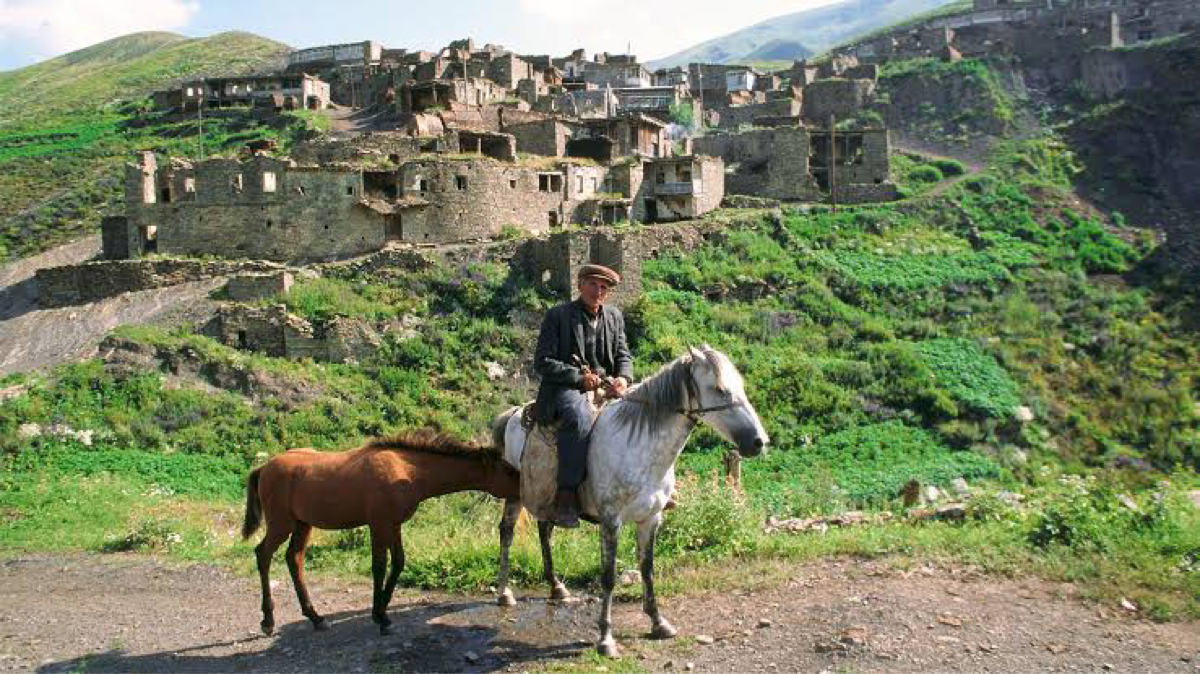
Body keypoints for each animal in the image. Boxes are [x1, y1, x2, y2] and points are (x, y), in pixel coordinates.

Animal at [241, 431, 518, 633]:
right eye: (506, 469)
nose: (522, 486)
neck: (407, 470)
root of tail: (264, 467)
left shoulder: (394, 525)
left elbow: (398, 563)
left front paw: (383, 610)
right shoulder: (379, 524)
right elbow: (379, 566)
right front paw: (379, 616)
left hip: (302, 524)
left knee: (294, 559)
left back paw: (315, 617)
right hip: (281, 524)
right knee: (263, 555)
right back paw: (268, 621)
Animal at [489, 342, 763, 652]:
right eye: (718, 388)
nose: (758, 442)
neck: (639, 446)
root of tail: (514, 414)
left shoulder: (651, 518)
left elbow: (647, 569)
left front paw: (658, 622)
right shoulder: (611, 521)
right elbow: (608, 577)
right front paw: (606, 638)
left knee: (545, 530)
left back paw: (556, 587)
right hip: (514, 494)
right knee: (507, 532)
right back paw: (504, 592)